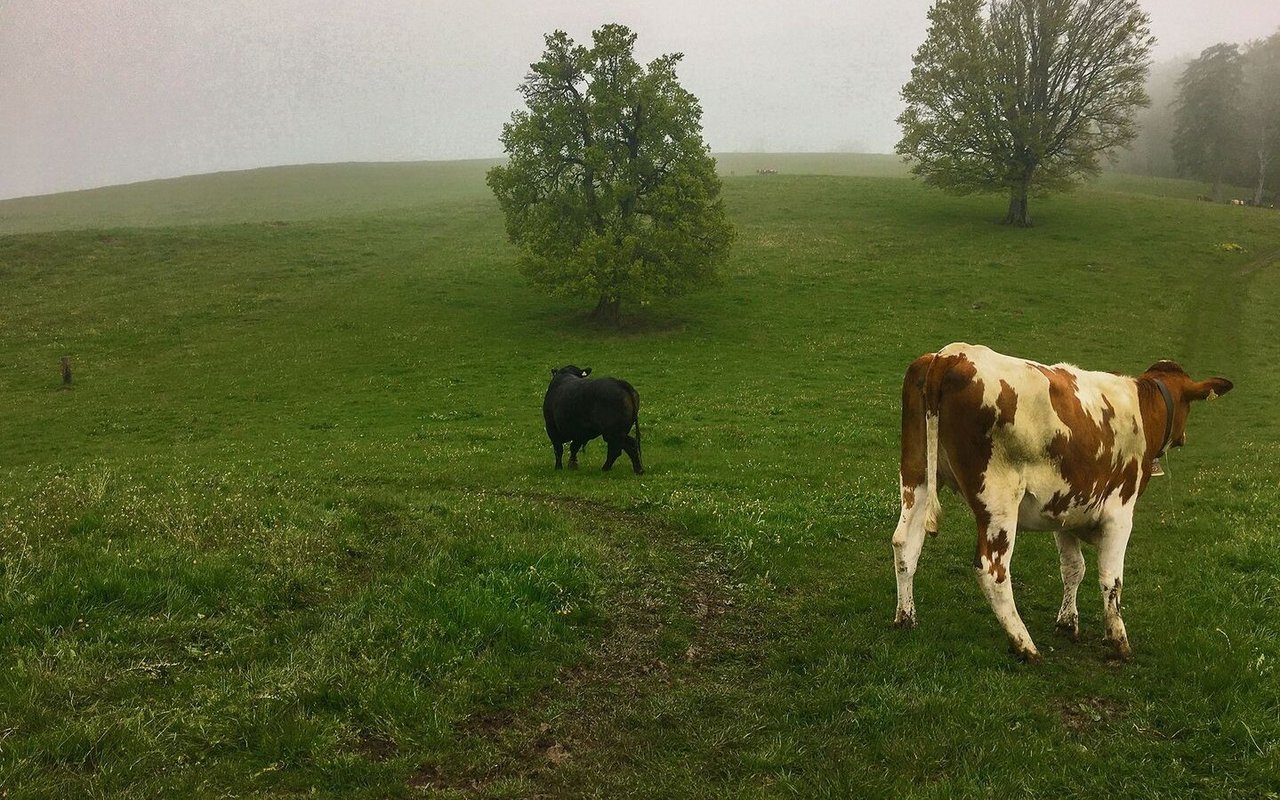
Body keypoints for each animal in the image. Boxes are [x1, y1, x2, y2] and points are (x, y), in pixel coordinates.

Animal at [890, 343, 1228, 660]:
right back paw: (1025, 645)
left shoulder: (1066, 507)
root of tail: (952, 354)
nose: (1184, 437)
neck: (1143, 408)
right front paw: (1118, 640)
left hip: (917, 475)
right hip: (998, 500)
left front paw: (1067, 622)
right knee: (992, 569)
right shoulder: (1120, 513)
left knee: (905, 542)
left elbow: (1073, 567)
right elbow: (1112, 579)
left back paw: (906, 618)